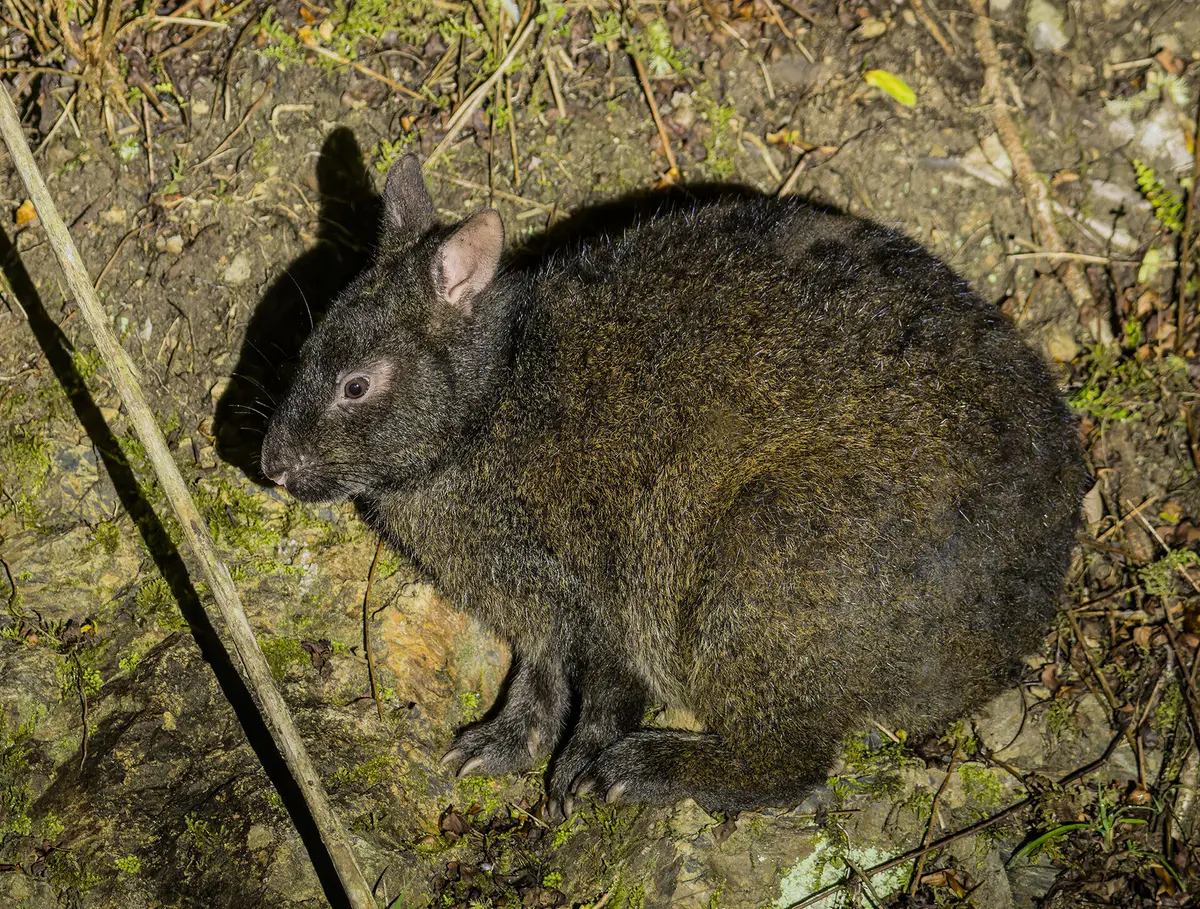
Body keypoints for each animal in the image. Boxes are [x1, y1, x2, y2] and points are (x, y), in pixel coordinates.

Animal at [260, 154, 1084, 813]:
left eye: (358, 386)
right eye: (305, 346)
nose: (272, 464)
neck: (491, 404)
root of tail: (1019, 625)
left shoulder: (604, 602)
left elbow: (600, 698)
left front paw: (571, 782)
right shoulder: (543, 614)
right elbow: (538, 687)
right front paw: (491, 749)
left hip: (768, 567)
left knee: (792, 765)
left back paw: (642, 769)